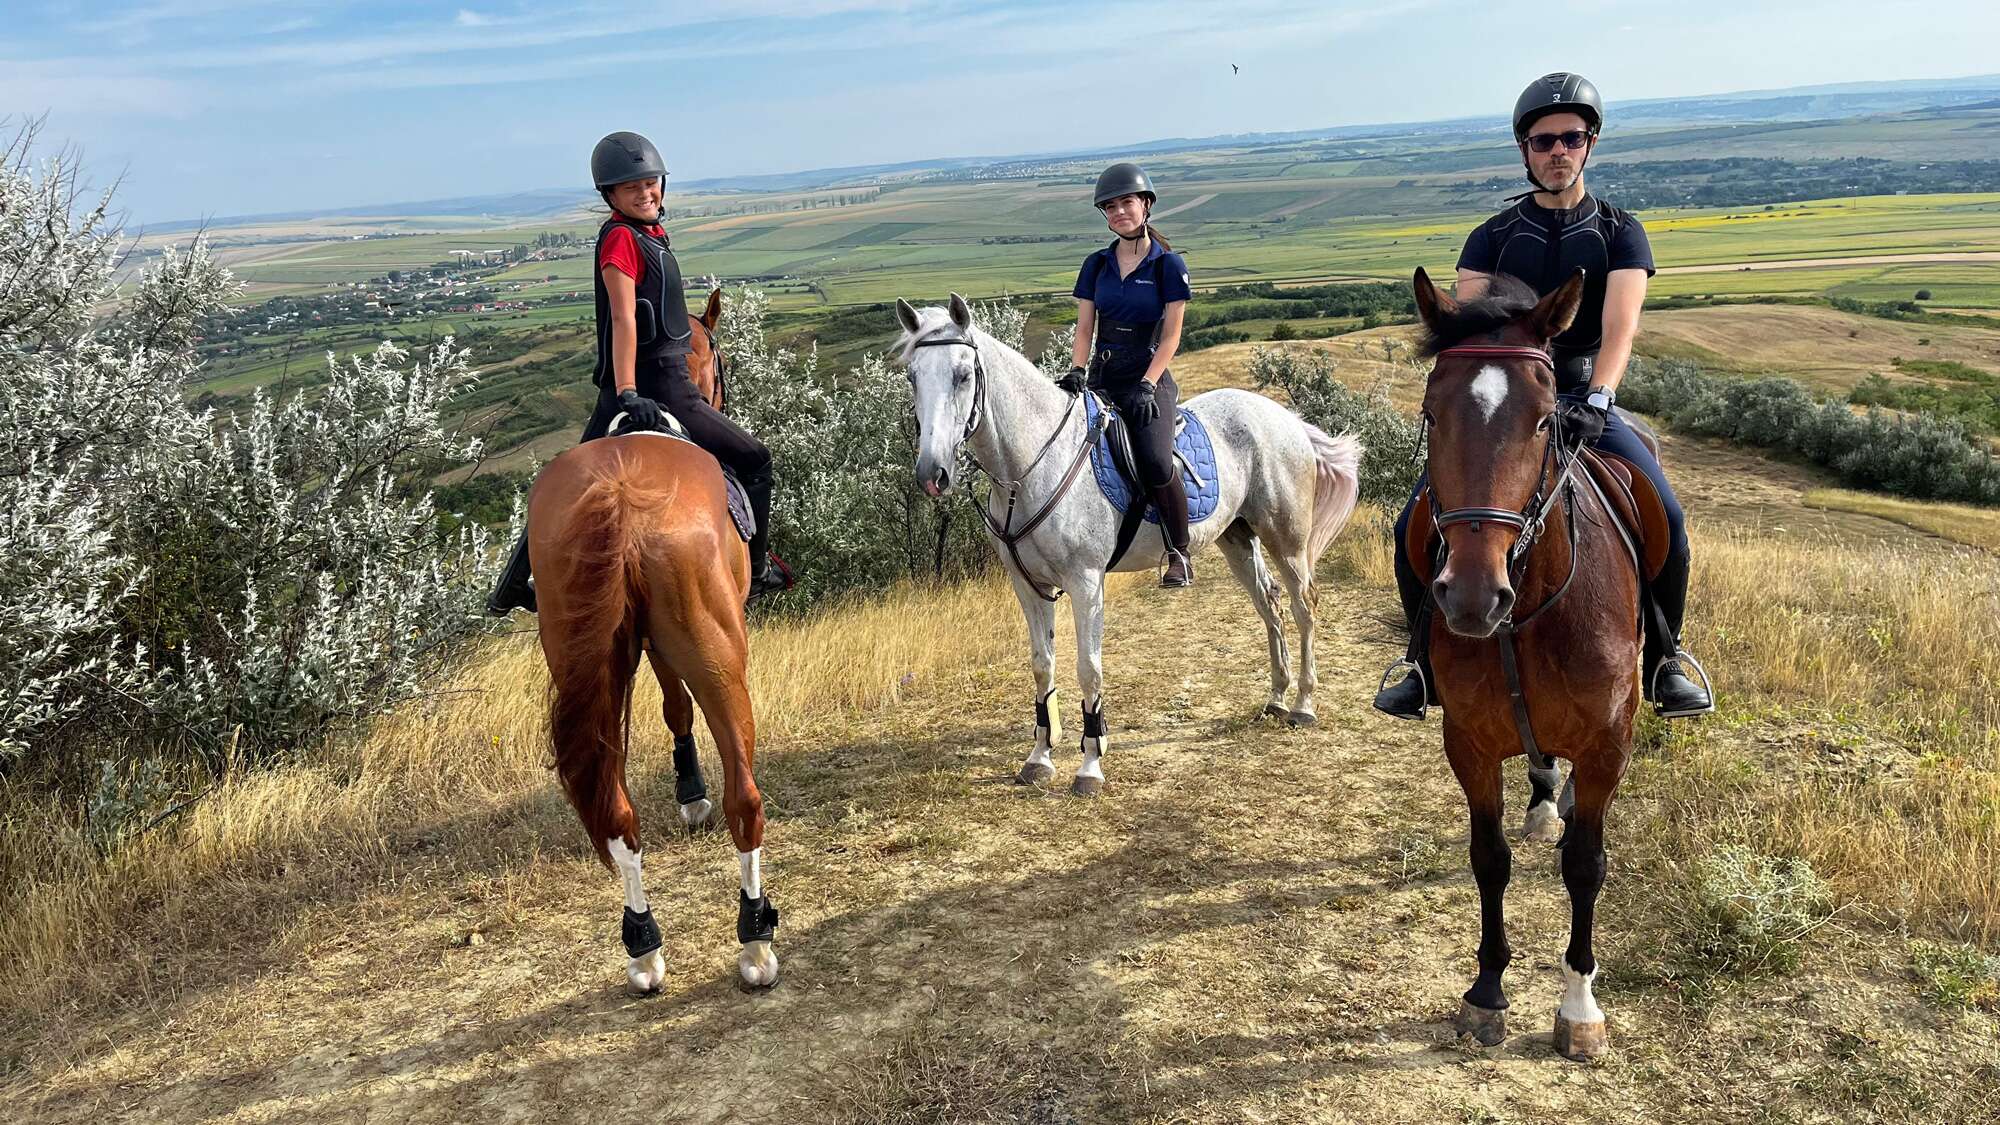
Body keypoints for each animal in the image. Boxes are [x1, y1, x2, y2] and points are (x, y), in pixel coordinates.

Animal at [527, 294, 779, 994]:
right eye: (718, 359)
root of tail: (619, 495)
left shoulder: (645, 642)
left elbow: (672, 707)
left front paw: (687, 790)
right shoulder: (677, 642)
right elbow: (680, 706)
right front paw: (694, 795)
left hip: (586, 661)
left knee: (616, 816)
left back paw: (642, 947)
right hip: (718, 652)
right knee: (745, 800)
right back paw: (755, 942)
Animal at [894, 294, 1361, 797]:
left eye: (963, 374)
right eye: (912, 376)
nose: (933, 474)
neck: (1031, 465)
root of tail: (1285, 417)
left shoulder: (1085, 583)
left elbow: (1088, 669)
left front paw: (1090, 765)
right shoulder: (1029, 586)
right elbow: (1042, 665)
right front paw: (1039, 758)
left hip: (1286, 539)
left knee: (1303, 606)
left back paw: (1304, 705)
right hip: (1237, 538)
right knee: (1269, 605)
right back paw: (1275, 698)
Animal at [1406, 266, 1643, 1061]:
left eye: (1545, 421)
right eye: (1433, 414)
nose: (1473, 596)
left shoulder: (1608, 745)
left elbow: (1587, 865)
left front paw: (1578, 1006)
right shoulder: (1470, 743)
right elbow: (1491, 857)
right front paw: (1485, 991)